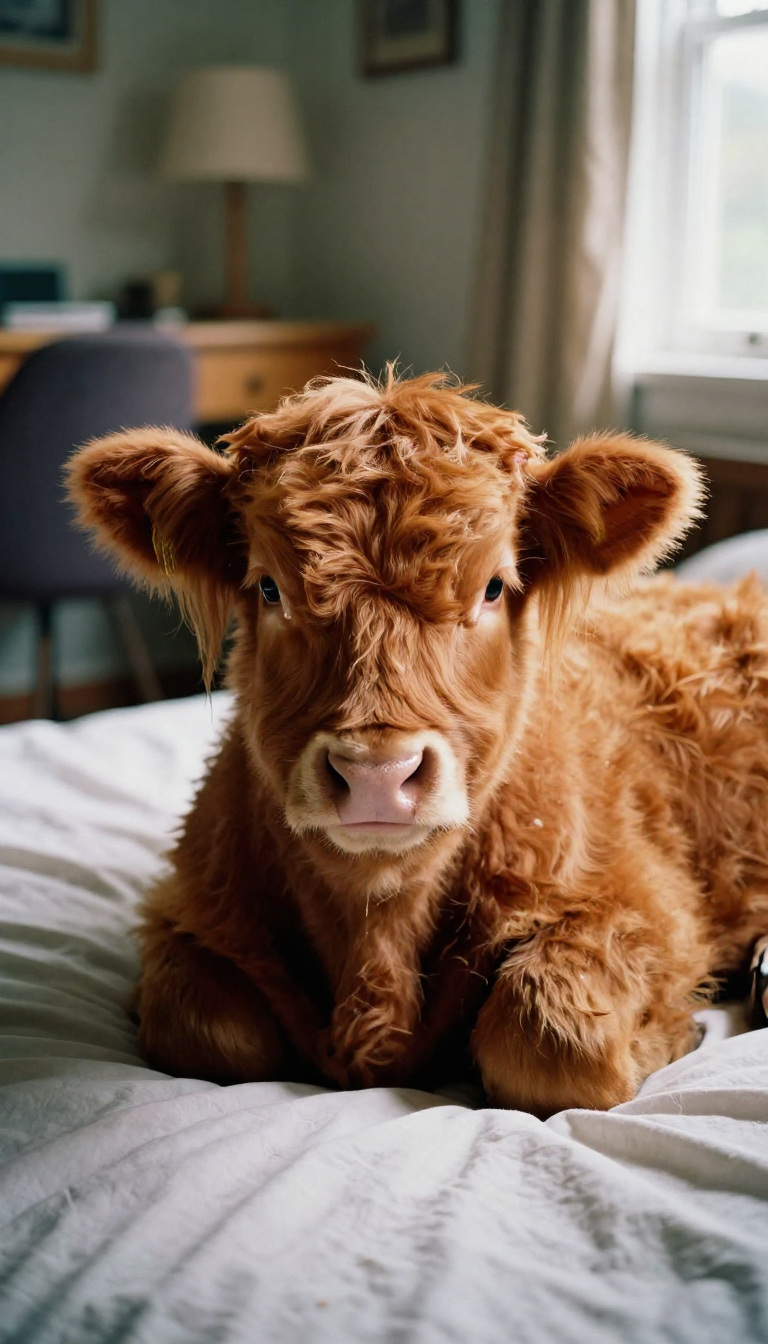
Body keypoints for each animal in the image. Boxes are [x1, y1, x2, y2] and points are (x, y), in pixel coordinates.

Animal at [67, 370, 768, 1116]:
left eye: (493, 587)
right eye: (270, 588)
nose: (378, 773)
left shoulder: (646, 906)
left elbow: (545, 1039)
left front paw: (675, 1031)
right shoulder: (195, 911)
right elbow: (203, 1032)